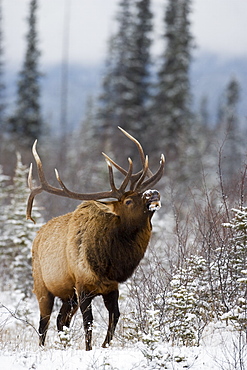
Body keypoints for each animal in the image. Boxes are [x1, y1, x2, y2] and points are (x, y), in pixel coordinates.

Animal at [26, 127, 164, 350]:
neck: (109, 264)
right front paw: (89, 349)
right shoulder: (83, 286)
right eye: (128, 200)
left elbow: (115, 316)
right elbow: (88, 322)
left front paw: (104, 345)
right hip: (43, 286)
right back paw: (43, 347)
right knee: (44, 322)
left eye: (143, 191)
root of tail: (37, 236)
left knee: (60, 320)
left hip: (68, 296)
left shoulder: (111, 288)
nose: (154, 193)